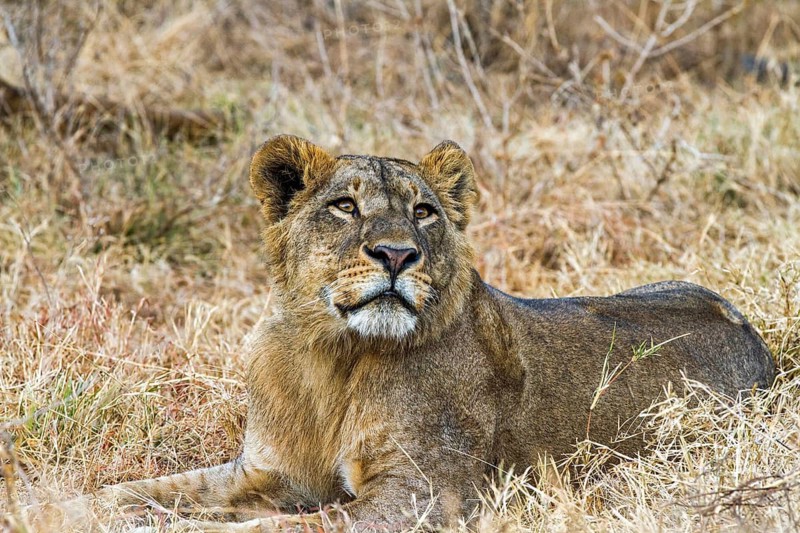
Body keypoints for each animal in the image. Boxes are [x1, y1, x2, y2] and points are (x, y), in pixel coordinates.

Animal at [42, 135, 775, 531]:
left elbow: (275, 525)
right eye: (345, 205)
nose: (397, 254)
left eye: (423, 212)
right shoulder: (269, 469)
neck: (330, 358)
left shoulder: (421, 497)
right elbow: (145, 489)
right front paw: (63, 506)